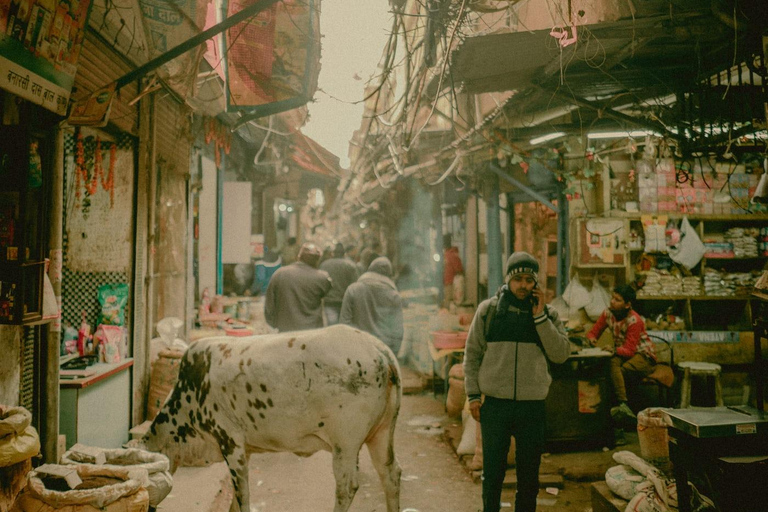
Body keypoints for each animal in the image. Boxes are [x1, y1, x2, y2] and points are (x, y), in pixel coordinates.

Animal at [139, 324, 404, 512]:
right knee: (391, 474)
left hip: (345, 445)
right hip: (381, 434)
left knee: (347, 487)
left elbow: (242, 494)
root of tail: (380, 350)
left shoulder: (230, 441)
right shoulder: (243, 450)